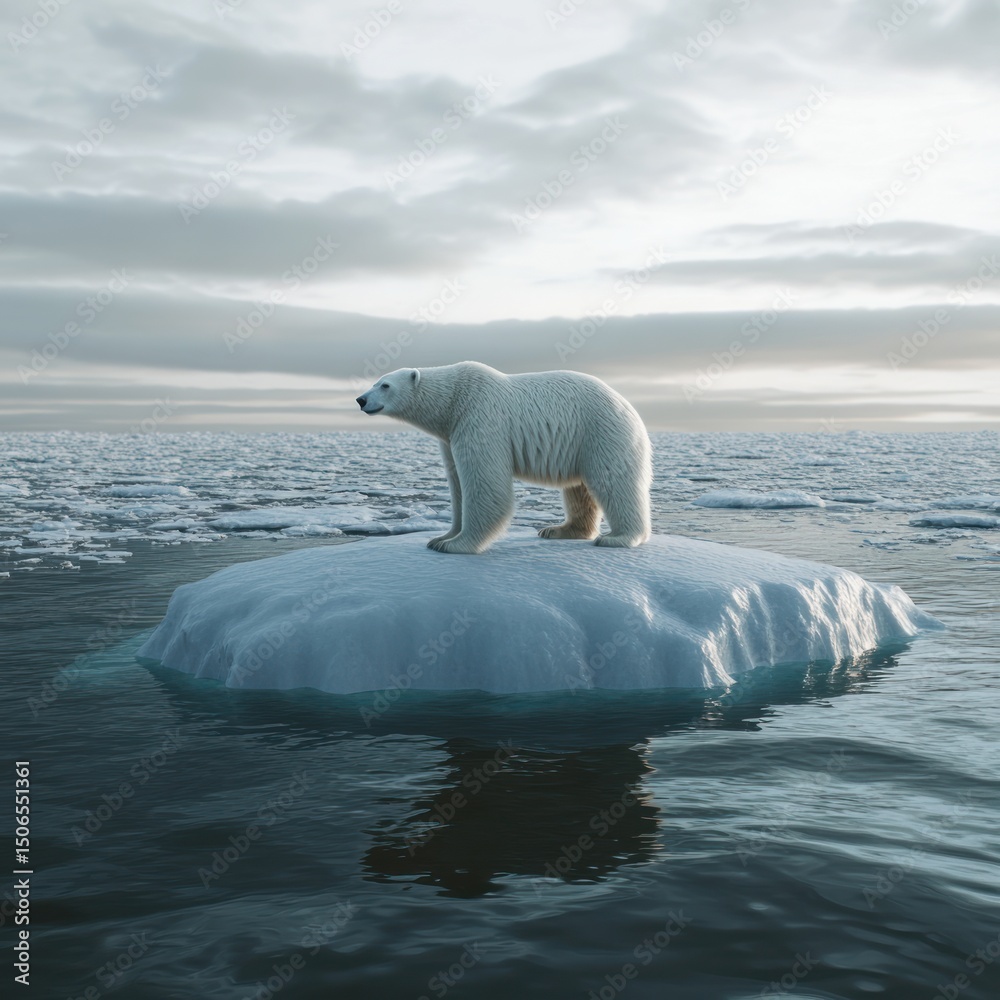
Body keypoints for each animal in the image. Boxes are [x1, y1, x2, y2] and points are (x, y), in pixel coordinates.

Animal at [356, 361, 652, 554]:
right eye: (374, 382)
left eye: (385, 385)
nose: (361, 400)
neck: (453, 400)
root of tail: (631, 410)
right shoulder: (450, 435)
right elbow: (457, 485)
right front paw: (441, 537)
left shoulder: (479, 418)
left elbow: (485, 483)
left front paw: (455, 545)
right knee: (578, 490)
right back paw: (558, 530)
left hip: (602, 432)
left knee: (614, 482)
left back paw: (618, 537)